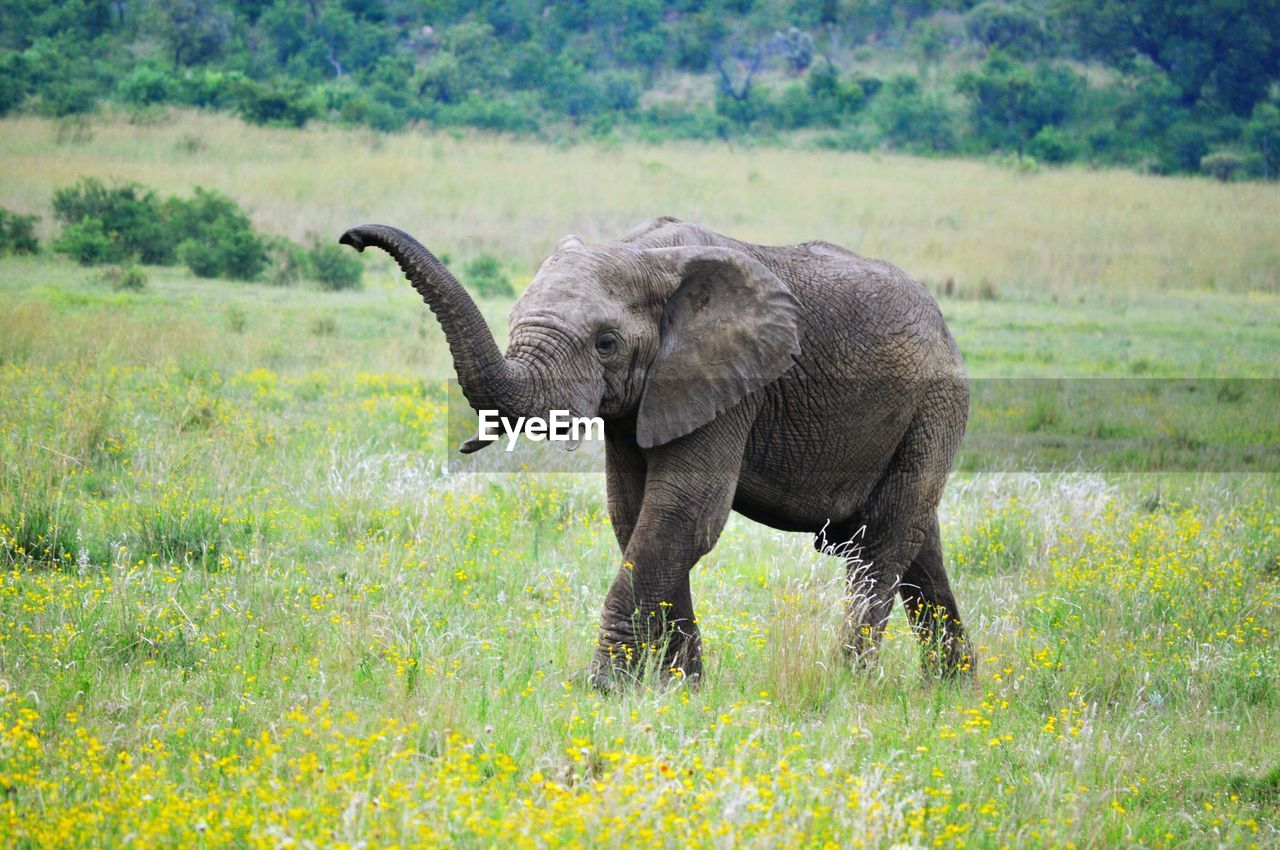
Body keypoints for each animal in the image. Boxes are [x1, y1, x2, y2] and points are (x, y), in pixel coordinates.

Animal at [340, 216, 967, 686]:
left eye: (606, 343)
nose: (351, 239)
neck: (645, 253)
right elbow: (635, 516)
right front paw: (681, 689)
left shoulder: (733, 382)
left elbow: (682, 515)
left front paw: (603, 690)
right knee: (918, 547)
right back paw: (952, 690)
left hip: (936, 403)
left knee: (882, 539)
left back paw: (848, 682)